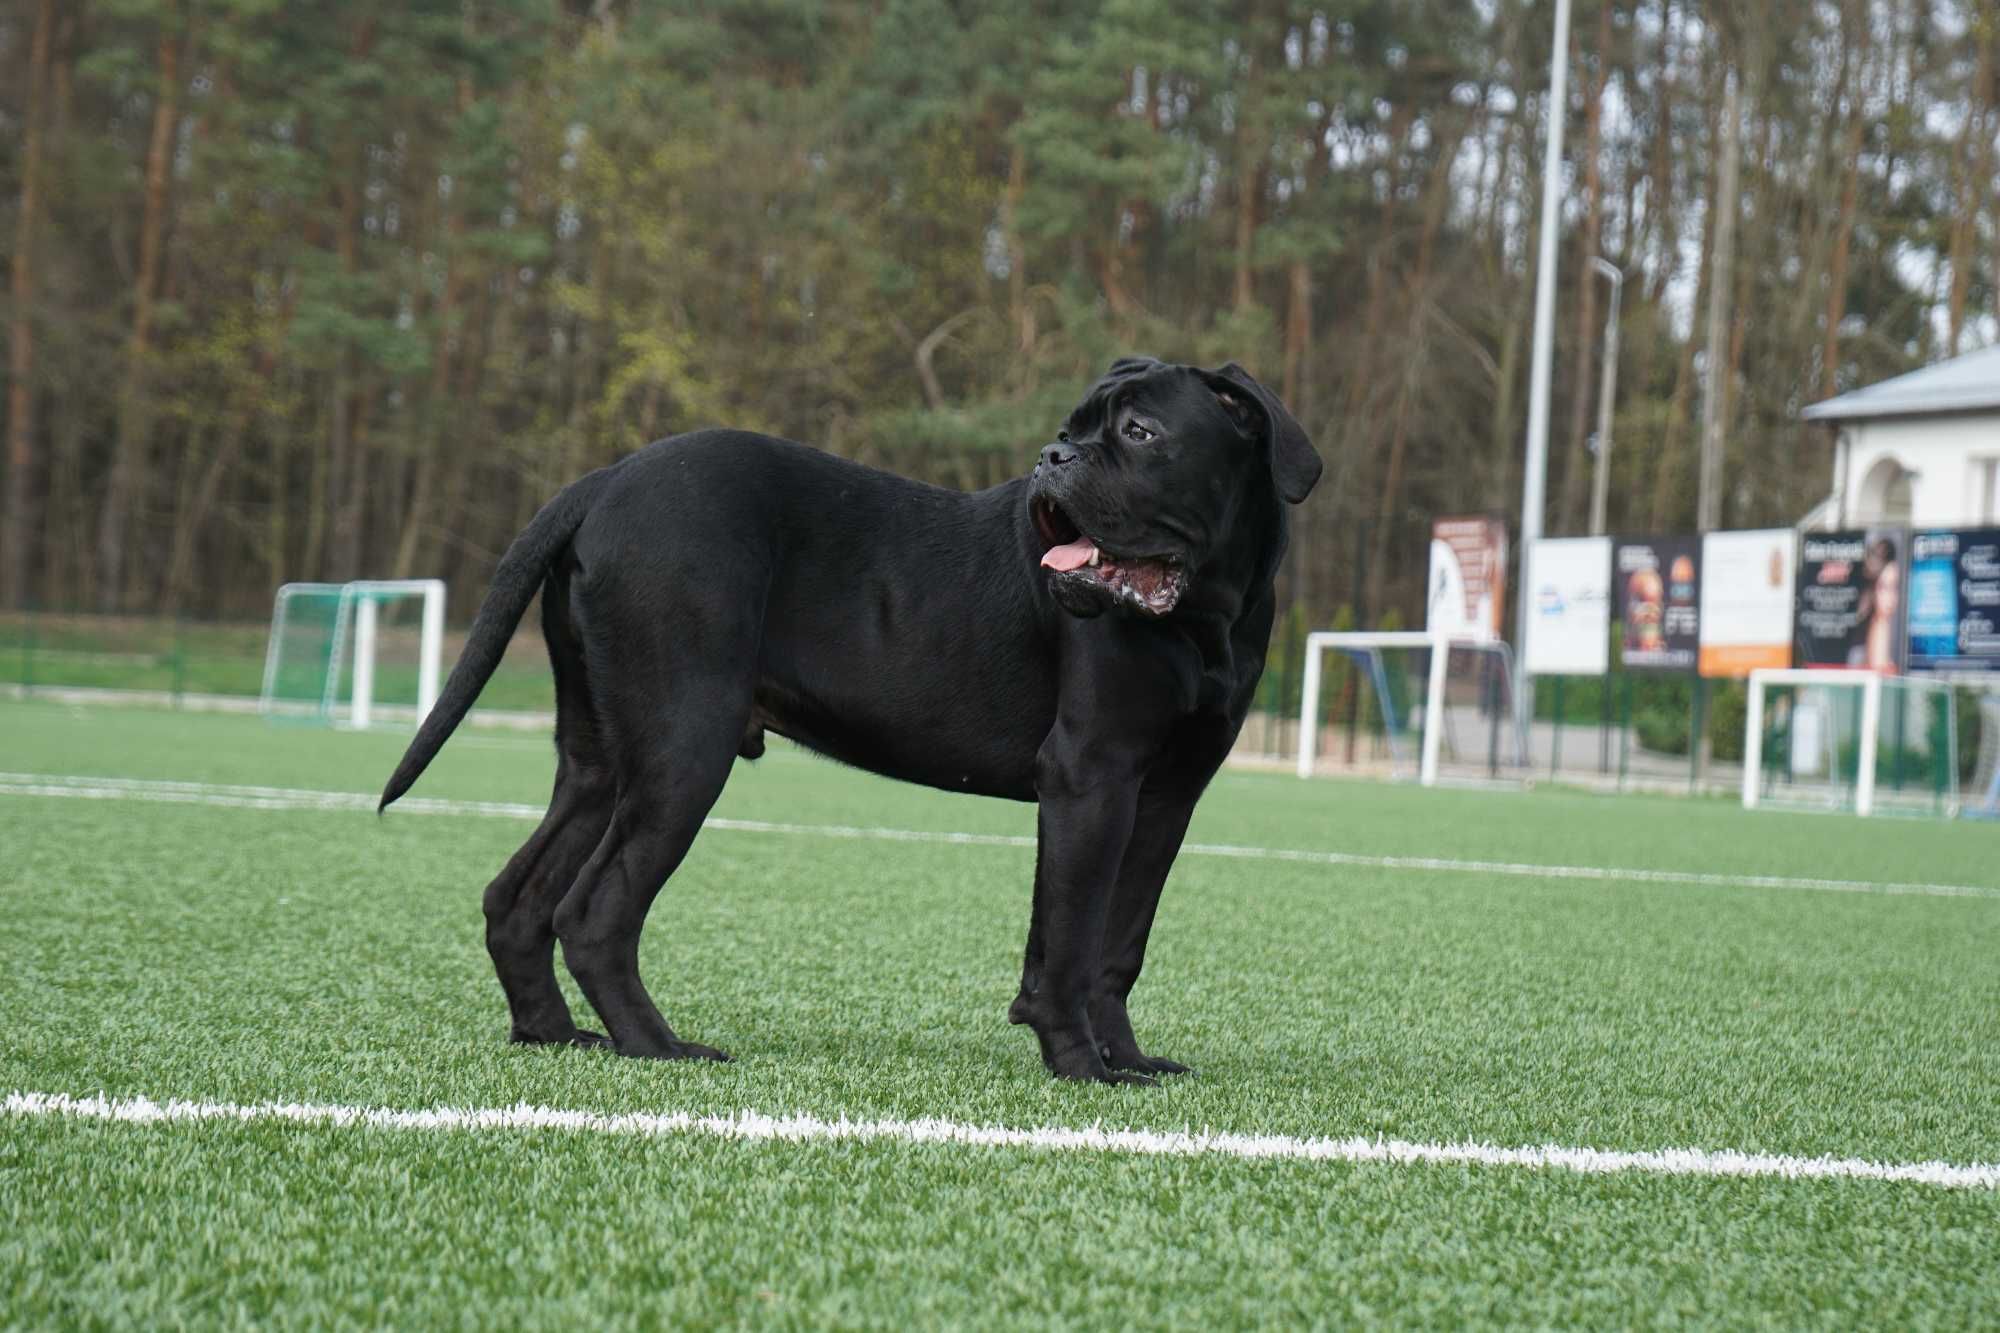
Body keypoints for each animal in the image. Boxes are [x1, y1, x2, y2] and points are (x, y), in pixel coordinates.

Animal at [380, 352, 1320, 1080]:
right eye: (1077, 428)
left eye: (1139, 433)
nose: (1053, 456)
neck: (1208, 612)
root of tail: (604, 479)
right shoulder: (1091, 773)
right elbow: (1076, 936)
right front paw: (1082, 1065)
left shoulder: (1163, 796)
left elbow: (1114, 941)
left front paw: (1123, 1056)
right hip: (684, 748)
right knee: (595, 910)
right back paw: (658, 1047)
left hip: (602, 760)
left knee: (518, 895)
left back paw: (553, 1033)